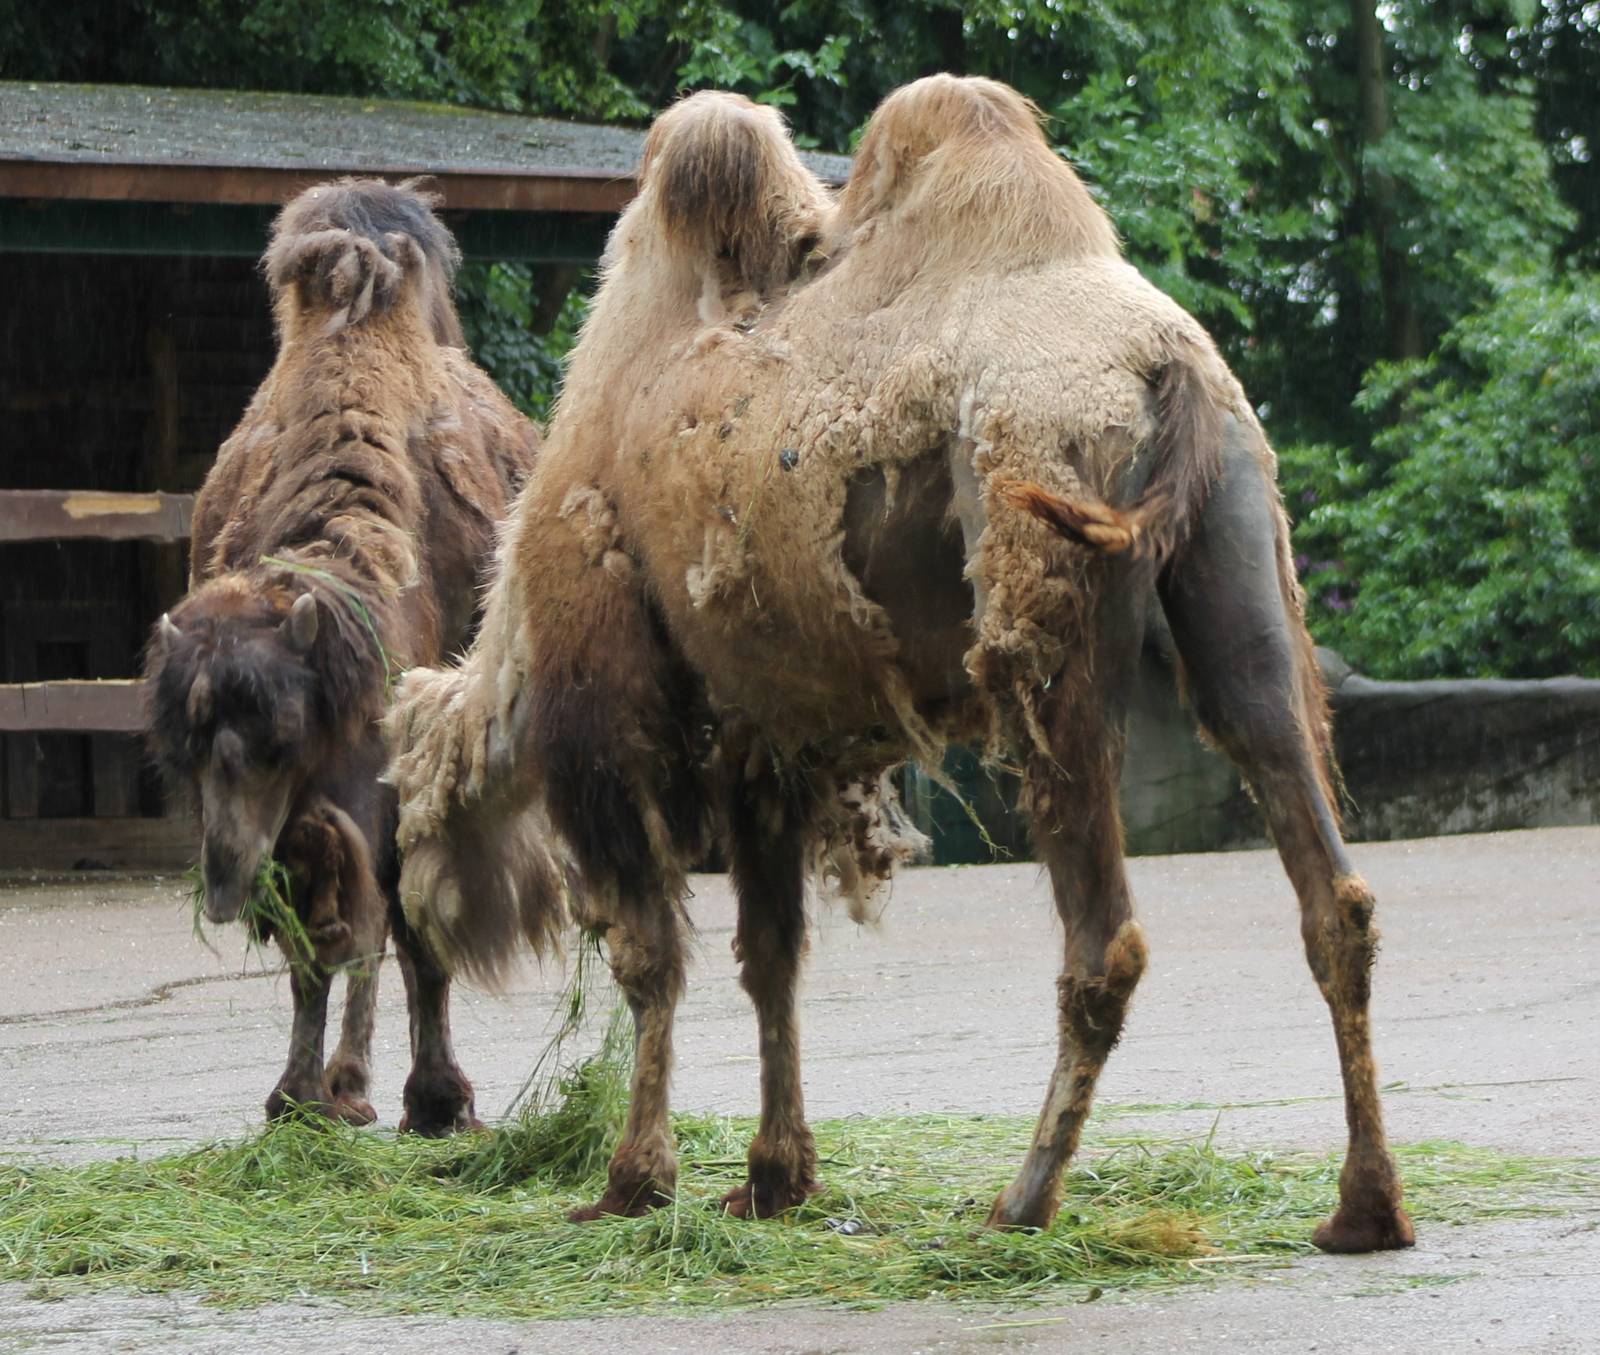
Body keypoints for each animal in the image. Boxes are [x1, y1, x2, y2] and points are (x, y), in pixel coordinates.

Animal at [145, 179, 539, 1132]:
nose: (225, 879)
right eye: (180, 751)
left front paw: (415, 1096)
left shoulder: (387, 774)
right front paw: (298, 1094)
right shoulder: (313, 812)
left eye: (283, 734)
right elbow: (319, 934)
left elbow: (398, 922)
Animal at [384, 79, 1414, 1252]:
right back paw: (1363, 1206)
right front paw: (774, 1176)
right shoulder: (763, 735)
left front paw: (631, 1180)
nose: (416, 905)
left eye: (405, 817)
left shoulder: (602, 713)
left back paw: (1021, 1200)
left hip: (1040, 601)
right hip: (1236, 560)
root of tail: (1169, 370)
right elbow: (770, 953)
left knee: (1102, 931)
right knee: (1322, 870)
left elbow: (648, 954)